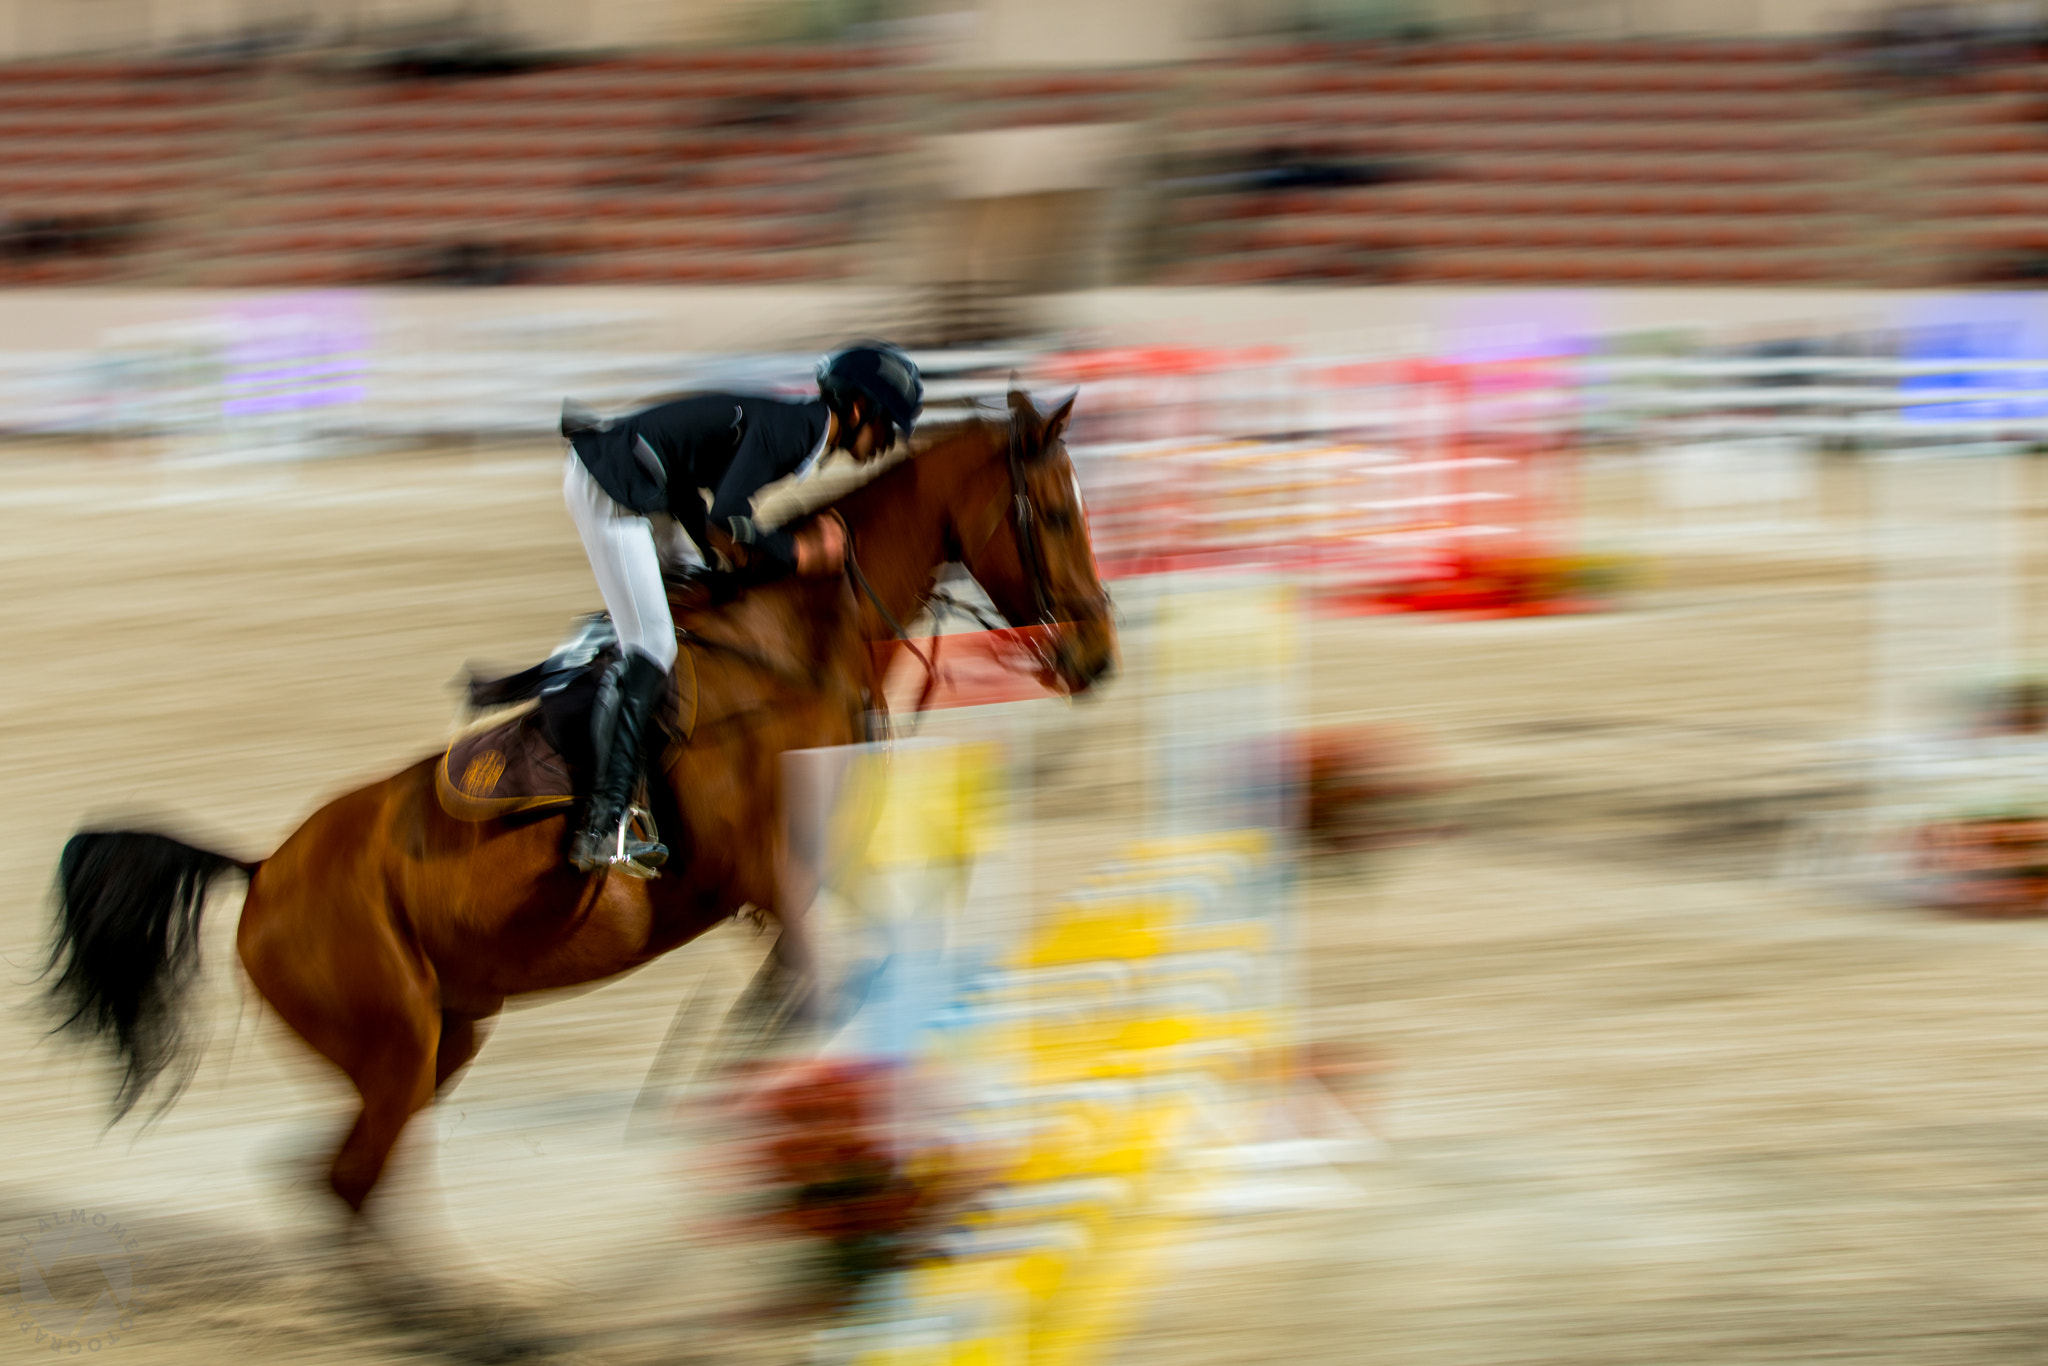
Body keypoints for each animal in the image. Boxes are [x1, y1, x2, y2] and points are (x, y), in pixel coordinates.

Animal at [45, 387, 1115, 1216]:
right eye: (1059, 516)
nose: (1099, 658)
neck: (804, 644)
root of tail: (261, 870)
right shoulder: (772, 876)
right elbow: (815, 985)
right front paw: (709, 1092)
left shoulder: (816, 866)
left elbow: (867, 958)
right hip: (395, 1038)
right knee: (352, 1174)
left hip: (449, 1024)